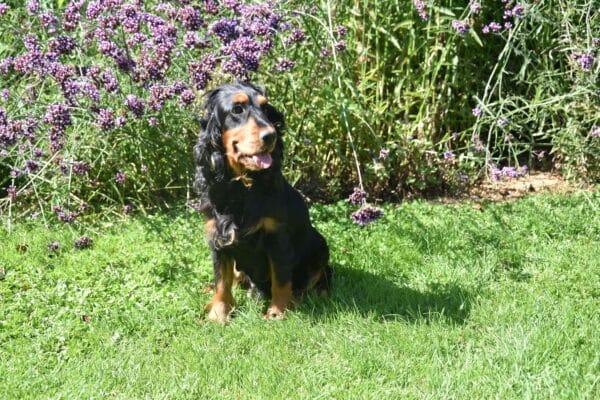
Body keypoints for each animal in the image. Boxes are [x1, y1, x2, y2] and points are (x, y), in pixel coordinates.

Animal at [193, 82, 330, 322]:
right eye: (237, 109)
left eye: (266, 109)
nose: (271, 136)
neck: (242, 186)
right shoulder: (218, 236)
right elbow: (222, 280)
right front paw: (219, 313)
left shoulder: (277, 237)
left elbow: (281, 279)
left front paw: (277, 312)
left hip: (321, 247)